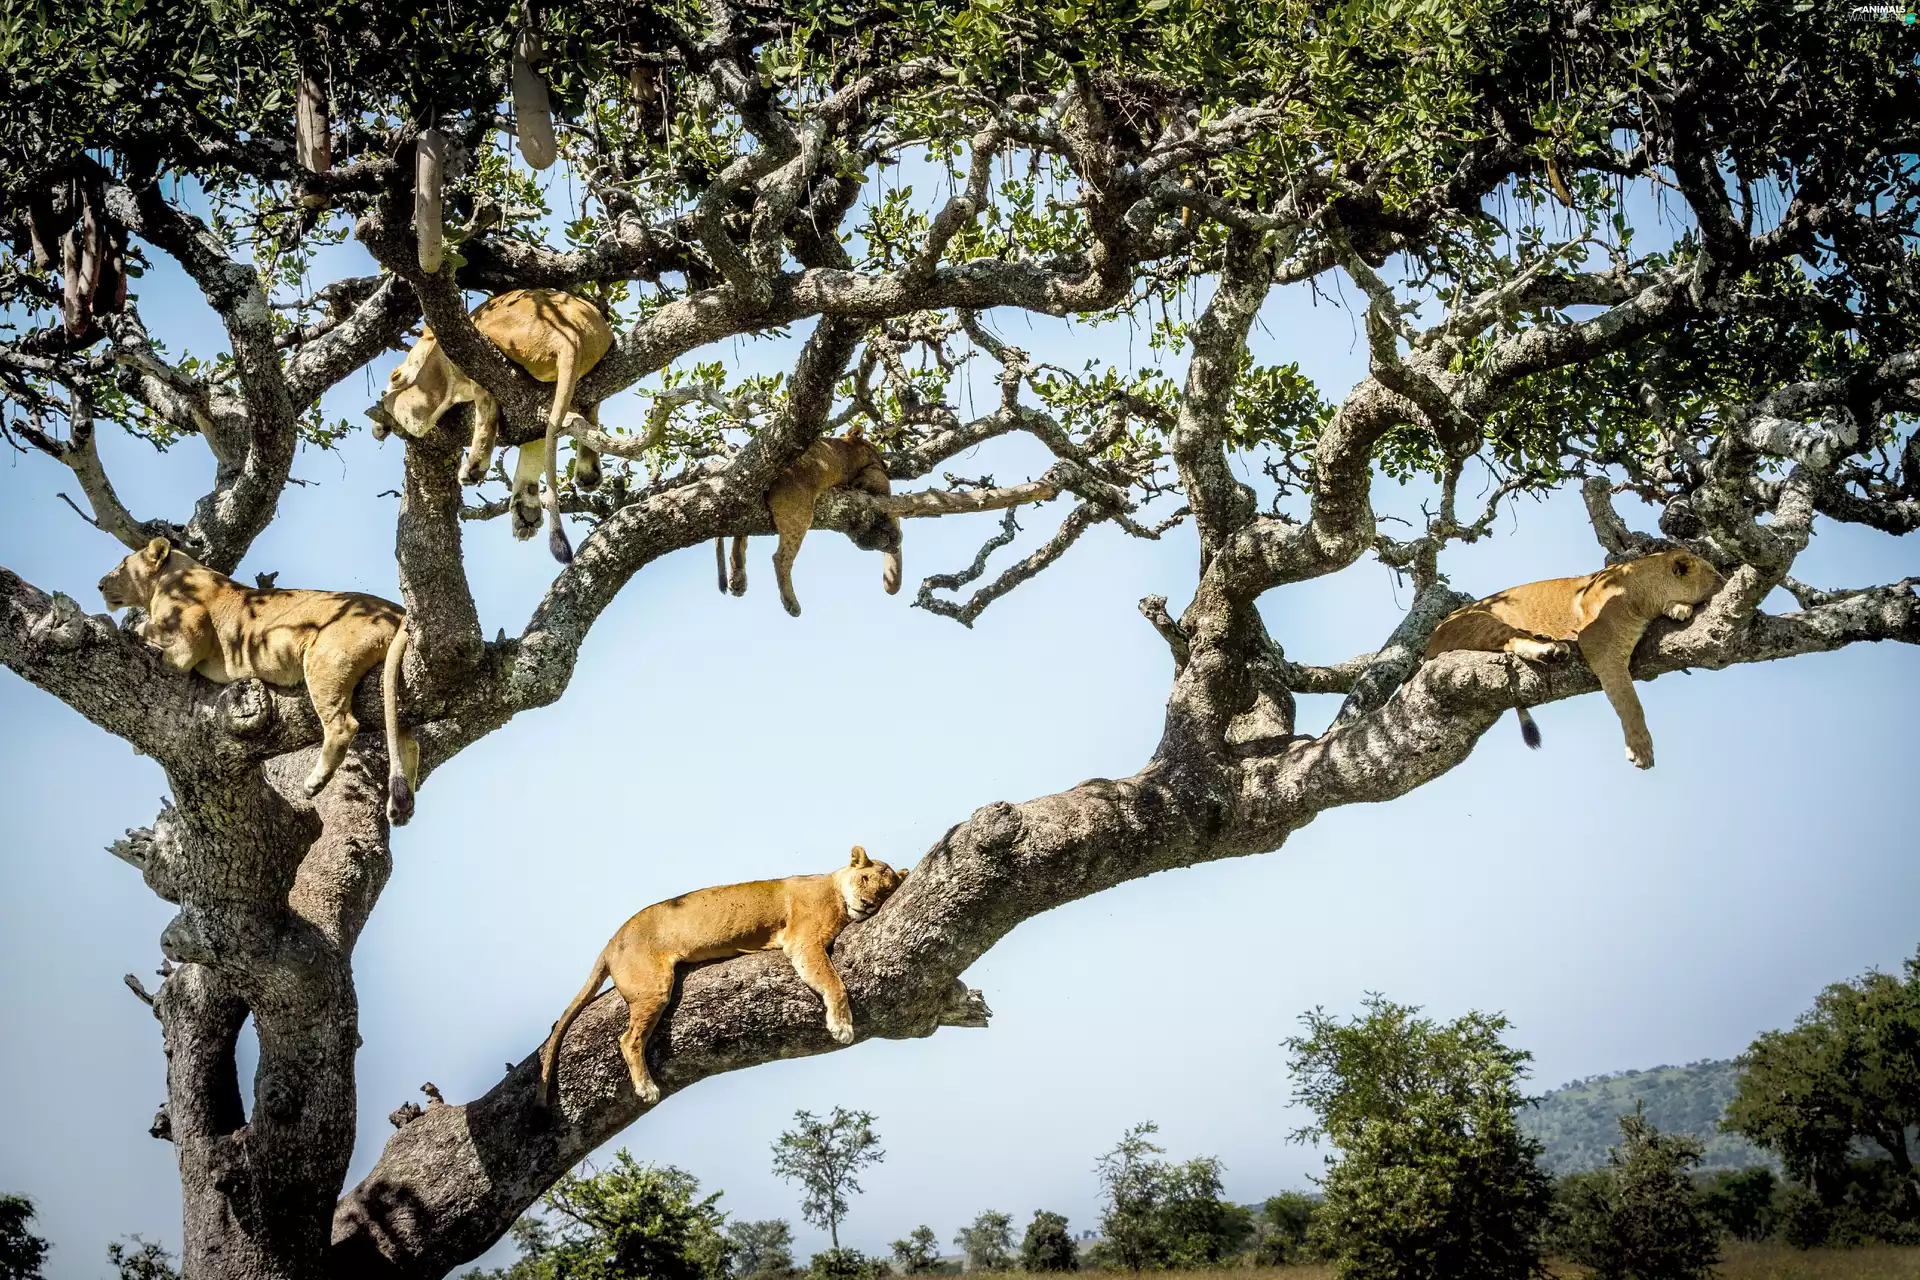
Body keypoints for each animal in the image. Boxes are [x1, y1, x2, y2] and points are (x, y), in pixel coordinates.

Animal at [98, 537, 422, 824]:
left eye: (122, 564)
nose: (100, 584)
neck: (168, 578)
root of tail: (397, 611)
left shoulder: (192, 632)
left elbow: (151, 633)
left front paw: (126, 627)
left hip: (325, 660)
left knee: (343, 724)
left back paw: (315, 782)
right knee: (408, 739)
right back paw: (402, 807)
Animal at [372, 288, 613, 564]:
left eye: (394, 376)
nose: (395, 375)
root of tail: (571, 333)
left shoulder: (427, 396)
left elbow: (393, 400)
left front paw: (379, 421)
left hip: (483, 349)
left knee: (489, 407)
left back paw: (475, 467)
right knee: (579, 416)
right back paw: (567, 484)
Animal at [538, 846, 908, 1108]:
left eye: (886, 891)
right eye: (865, 880)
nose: (867, 902)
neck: (834, 889)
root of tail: (612, 942)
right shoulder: (804, 941)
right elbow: (833, 982)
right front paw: (841, 1025)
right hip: (652, 986)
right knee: (628, 1039)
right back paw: (646, 1089)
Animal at [715, 425, 903, 617]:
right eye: (876, 454)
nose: (886, 468)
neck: (846, 447)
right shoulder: (871, 477)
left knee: (739, 538)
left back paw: (738, 580)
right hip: (799, 511)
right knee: (780, 557)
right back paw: (791, 603)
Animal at [1424, 547, 1725, 769]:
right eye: (1714, 574)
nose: (1726, 581)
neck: (1642, 590)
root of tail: (1430, 641)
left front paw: (1679, 607)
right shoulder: (1599, 643)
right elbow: (1629, 700)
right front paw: (1640, 747)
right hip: (1480, 621)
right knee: (1511, 641)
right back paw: (1550, 649)